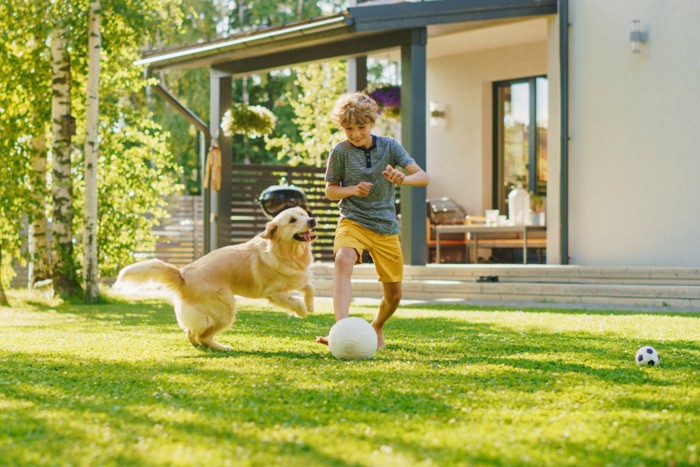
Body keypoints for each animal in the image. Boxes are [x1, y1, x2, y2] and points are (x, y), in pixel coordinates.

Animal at [114, 207, 318, 352]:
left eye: (303, 214)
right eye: (292, 220)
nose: (312, 220)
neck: (288, 253)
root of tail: (183, 274)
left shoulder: (297, 279)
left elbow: (309, 287)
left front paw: (311, 306)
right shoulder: (274, 294)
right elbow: (296, 301)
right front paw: (302, 312)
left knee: (191, 333)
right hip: (226, 310)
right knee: (202, 336)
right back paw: (222, 347)